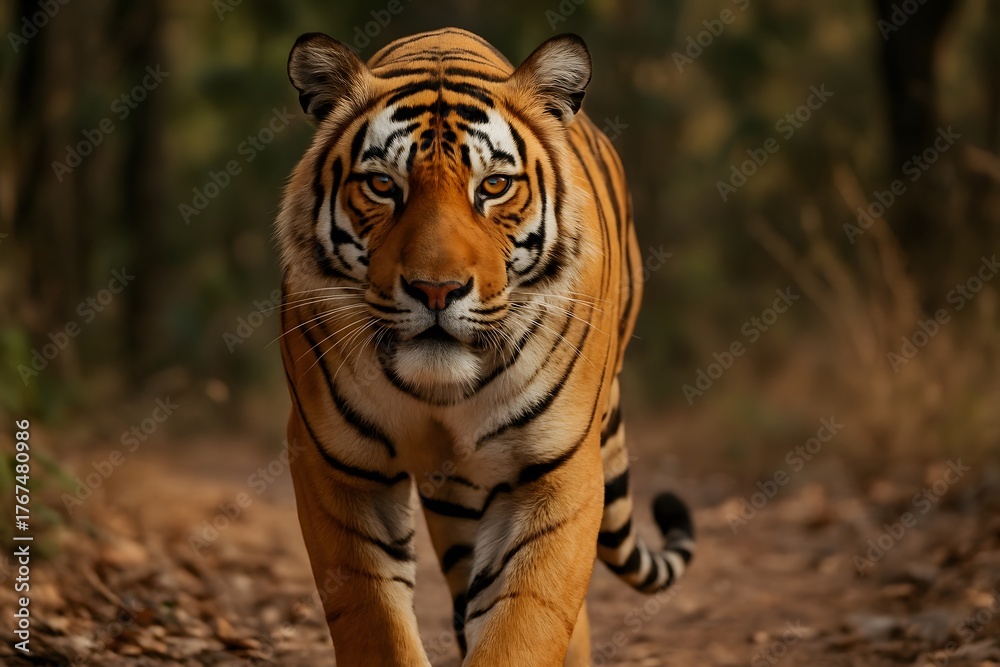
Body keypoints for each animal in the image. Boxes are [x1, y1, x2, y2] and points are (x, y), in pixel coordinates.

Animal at [276, 27, 695, 666]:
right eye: (382, 184)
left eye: (493, 186)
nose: (436, 289)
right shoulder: (337, 468)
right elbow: (374, 623)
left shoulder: (556, 472)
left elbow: (526, 622)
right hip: (454, 500)